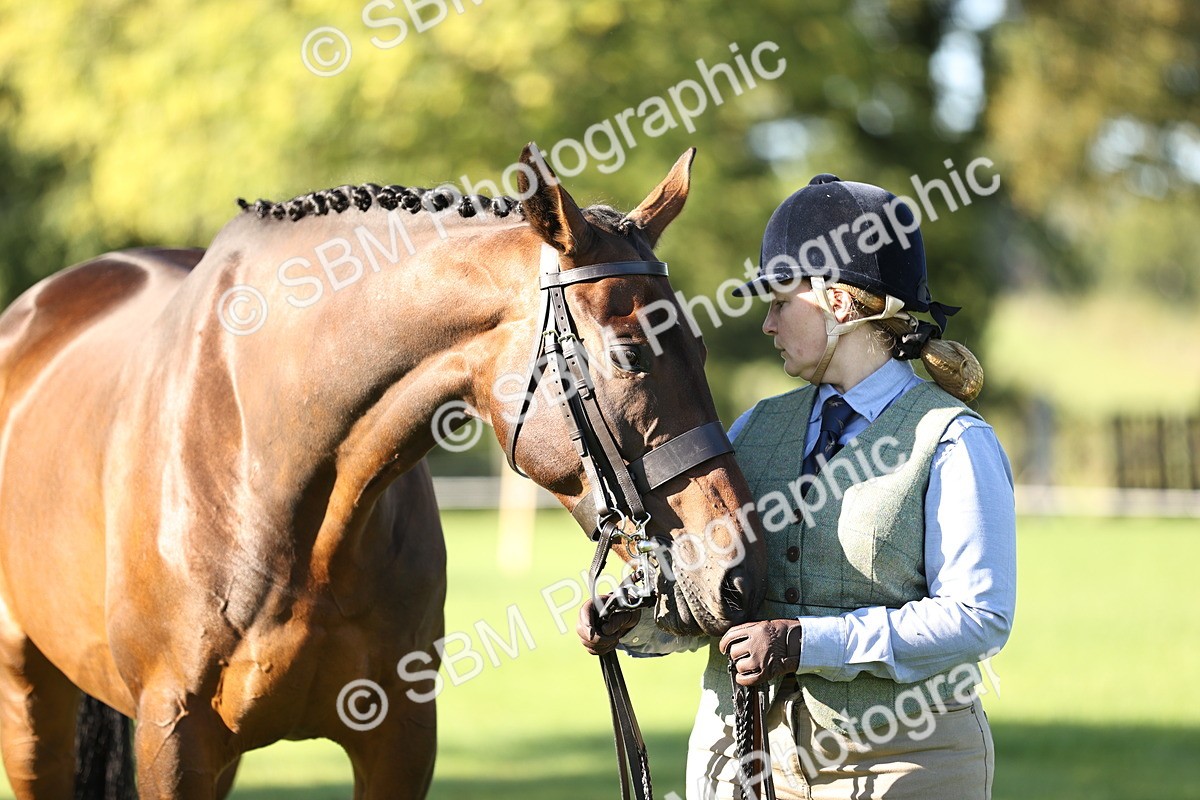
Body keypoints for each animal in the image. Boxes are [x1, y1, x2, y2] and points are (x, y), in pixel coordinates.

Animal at [0, 144, 766, 798]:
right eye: (631, 353)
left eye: (701, 348)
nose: (738, 573)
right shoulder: (174, 738)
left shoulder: (399, 735)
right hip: (29, 699)